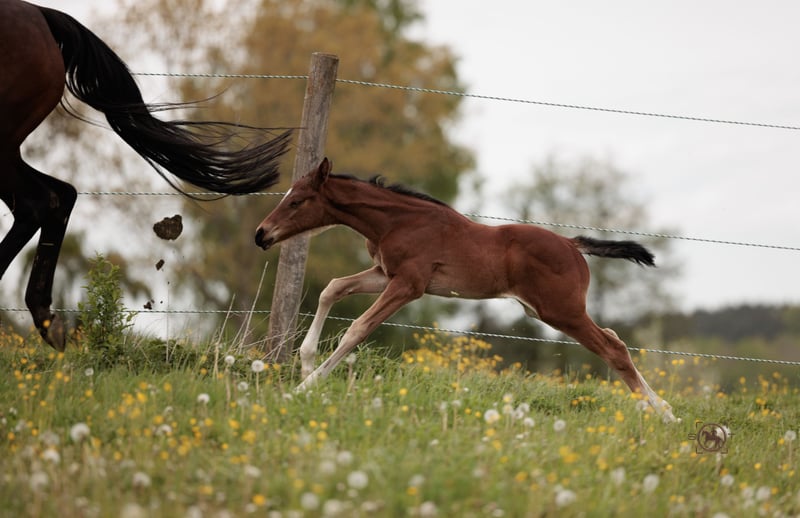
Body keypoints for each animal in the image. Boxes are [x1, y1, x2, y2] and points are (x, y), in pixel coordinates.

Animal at [254, 158, 678, 423]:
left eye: (296, 201)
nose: (261, 234)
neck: (397, 221)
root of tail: (573, 245)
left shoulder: (409, 284)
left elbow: (357, 328)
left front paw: (305, 386)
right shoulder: (385, 274)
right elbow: (333, 289)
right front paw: (305, 362)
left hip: (561, 311)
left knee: (613, 348)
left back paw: (664, 414)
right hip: (554, 311)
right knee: (614, 339)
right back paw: (663, 407)